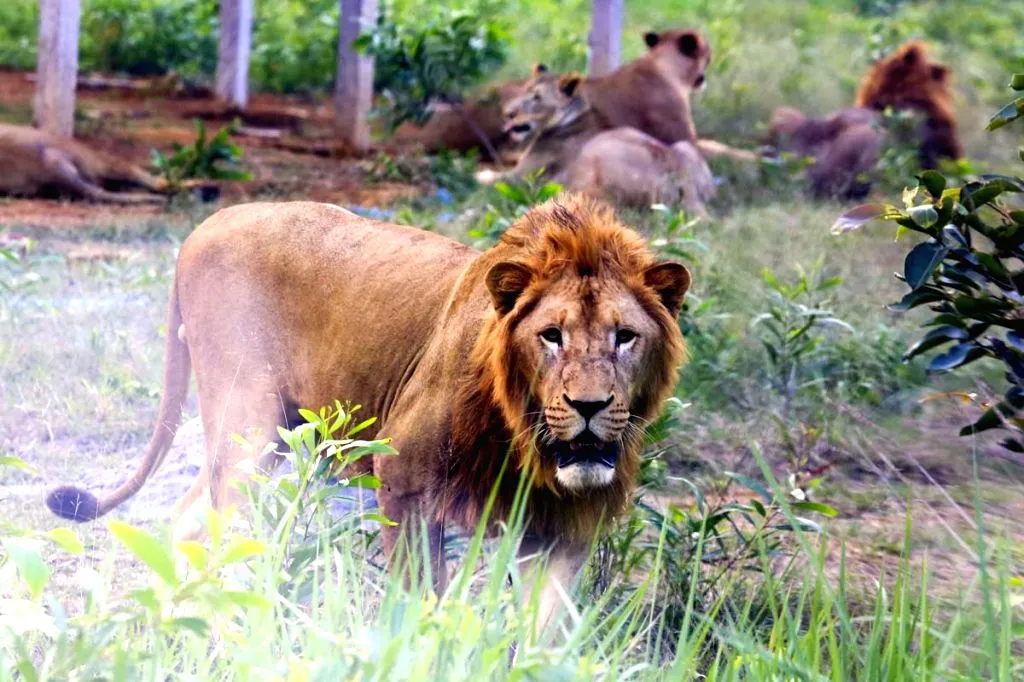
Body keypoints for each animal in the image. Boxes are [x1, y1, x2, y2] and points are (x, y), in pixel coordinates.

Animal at [46, 192, 688, 622]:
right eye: (551, 335)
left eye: (624, 337)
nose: (589, 405)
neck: (523, 441)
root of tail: (206, 225)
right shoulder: (403, 479)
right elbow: (422, 603)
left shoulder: (562, 532)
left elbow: (542, 635)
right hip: (245, 422)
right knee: (222, 521)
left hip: (275, 433)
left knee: (187, 516)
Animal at [503, 70, 712, 214]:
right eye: (524, 91)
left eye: (537, 98)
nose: (508, 113)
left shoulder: (520, 176)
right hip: (683, 147)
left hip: (596, 150)